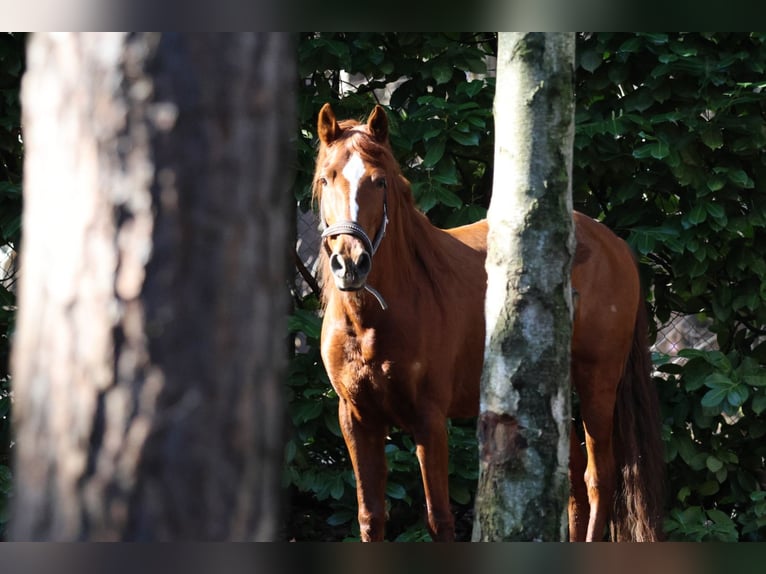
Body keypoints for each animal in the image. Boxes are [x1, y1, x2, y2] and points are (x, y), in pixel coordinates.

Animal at [313, 103, 665, 542]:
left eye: (378, 182)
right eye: (326, 178)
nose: (350, 263)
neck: (373, 323)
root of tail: (615, 244)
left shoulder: (429, 419)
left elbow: (439, 518)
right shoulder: (357, 418)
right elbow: (370, 517)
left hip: (598, 382)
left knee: (598, 478)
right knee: (571, 481)